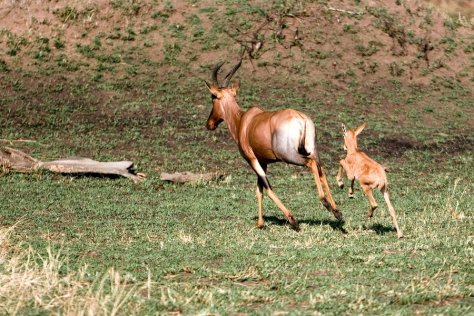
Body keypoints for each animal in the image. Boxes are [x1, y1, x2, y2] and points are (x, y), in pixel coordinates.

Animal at [204, 61, 340, 231]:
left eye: (213, 97)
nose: (209, 124)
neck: (244, 121)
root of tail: (302, 118)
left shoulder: (252, 160)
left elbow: (267, 188)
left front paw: (292, 220)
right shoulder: (263, 161)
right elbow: (259, 190)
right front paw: (260, 223)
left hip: (290, 156)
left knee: (310, 163)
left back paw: (325, 202)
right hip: (313, 150)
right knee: (321, 171)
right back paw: (336, 211)